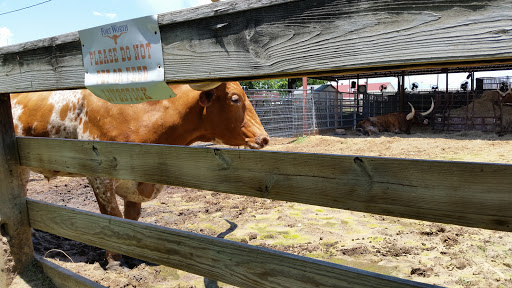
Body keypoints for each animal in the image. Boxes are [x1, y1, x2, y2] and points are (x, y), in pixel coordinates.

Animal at [10, 82, 270, 266]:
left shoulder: (136, 180)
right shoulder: (100, 177)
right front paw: (115, 261)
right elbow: (112, 216)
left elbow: (131, 218)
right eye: (235, 99)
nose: (264, 138)